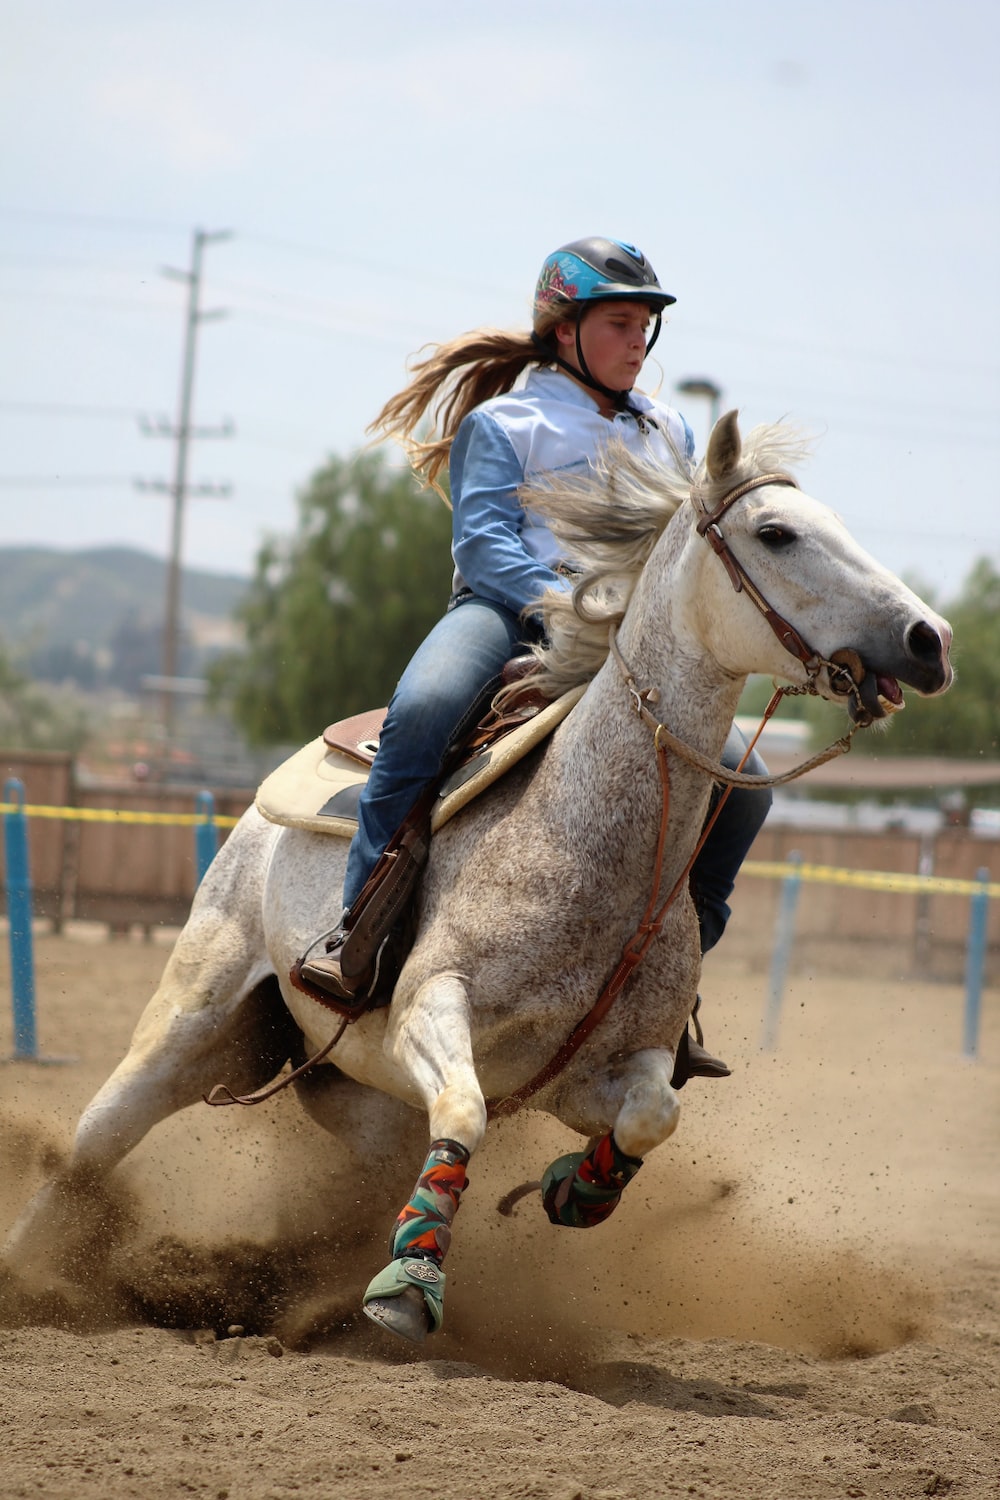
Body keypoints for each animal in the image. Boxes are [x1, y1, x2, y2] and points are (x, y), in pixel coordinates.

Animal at [3, 411, 953, 1344]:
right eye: (776, 532)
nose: (930, 640)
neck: (590, 846)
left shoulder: (604, 1070)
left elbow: (653, 1116)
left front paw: (579, 1187)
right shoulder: (430, 1005)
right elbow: (463, 1112)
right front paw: (409, 1281)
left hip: (351, 1092)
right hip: (189, 1019)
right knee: (93, 1146)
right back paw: (31, 1277)